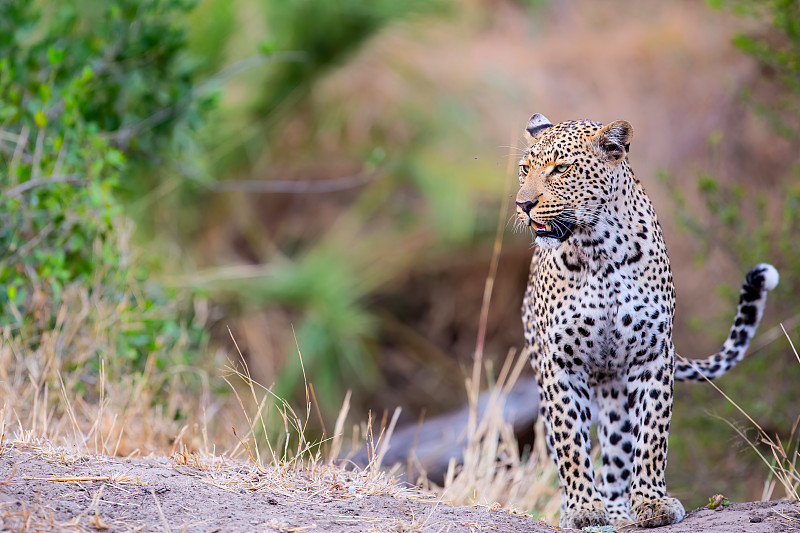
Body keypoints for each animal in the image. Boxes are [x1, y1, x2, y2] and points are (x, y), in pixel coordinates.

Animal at [512, 113, 780, 528]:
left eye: (560, 169)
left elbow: (653, 432)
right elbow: (570, 439)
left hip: (615, 390)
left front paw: (652, 502)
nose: (523, 204)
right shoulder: (560, 362)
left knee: (617, 455)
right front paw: (582, 508)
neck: (596, 249)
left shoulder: (651, 354)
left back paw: (620, 511)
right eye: (525, 169)